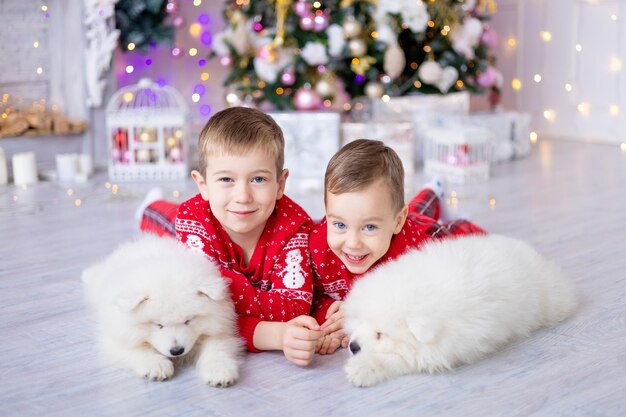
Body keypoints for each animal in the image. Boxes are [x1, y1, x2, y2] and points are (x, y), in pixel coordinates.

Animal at [81, 234, 241, 386]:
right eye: (158, 325)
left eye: (188, 321)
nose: (177, 350)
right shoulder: (117, 336)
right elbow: (136, 348)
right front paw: (156, 366)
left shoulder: (220, 328)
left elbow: (217, 346)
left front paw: (219, 371)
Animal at [342, 234, 576, 386]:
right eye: (360, 321)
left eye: (380, 334)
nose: (353, 346)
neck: (423, 290)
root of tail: (532, 253)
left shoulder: (444, 348)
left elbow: (399, 359)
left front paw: (361, 369)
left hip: (549, 300)